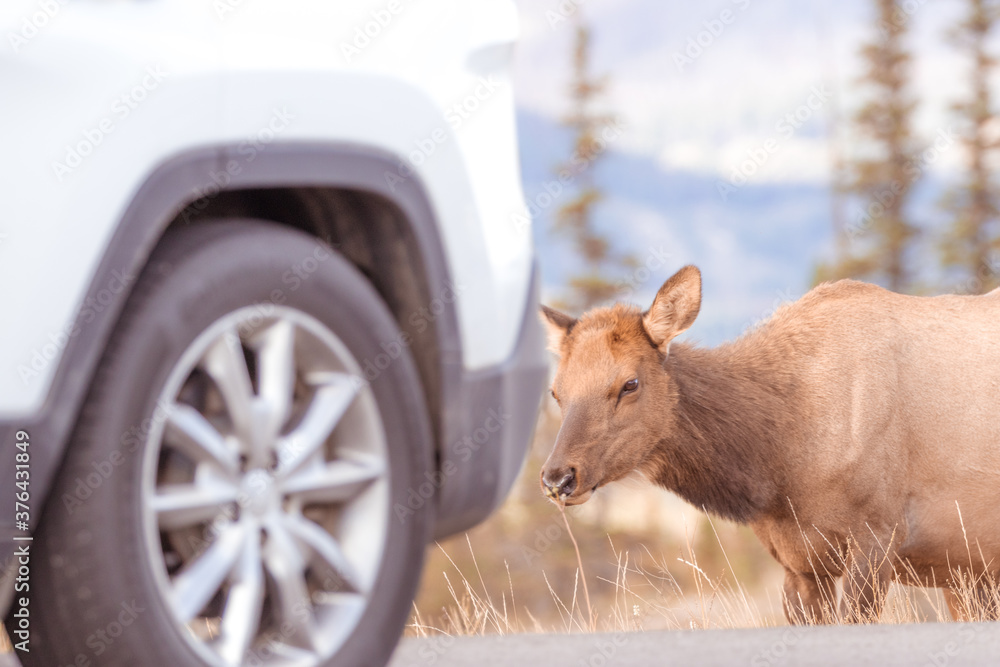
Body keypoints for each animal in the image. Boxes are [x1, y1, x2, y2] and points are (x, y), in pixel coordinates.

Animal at [539, 265, 1000, 624]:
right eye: (556, 391)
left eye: (629, 383)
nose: (558, 478)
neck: (779, 466)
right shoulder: (798, 563)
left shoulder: (878, 535)